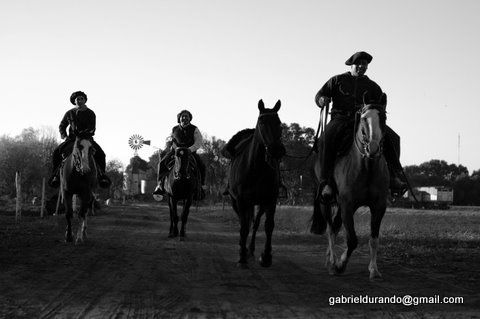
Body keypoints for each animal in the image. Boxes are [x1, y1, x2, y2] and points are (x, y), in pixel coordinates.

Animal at [226, 99, 284, 268]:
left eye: (279, 123)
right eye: (262, 122)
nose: (277, 150)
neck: (255, 167)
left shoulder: (270, 200)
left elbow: (268, 226)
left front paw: (266, 257)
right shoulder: (240, 200)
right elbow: (243, 227)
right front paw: (241, 258)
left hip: (259, 204)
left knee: (256, 222)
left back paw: (250, 249)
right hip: (237, 202)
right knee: (244, 222)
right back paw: (244, 249)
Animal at [312, 92, 390, 280]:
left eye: (383, 117)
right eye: (363, 118)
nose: (373, 148)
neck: (367, 168)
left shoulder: (378, 207)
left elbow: (373, 239)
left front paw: (374, 269)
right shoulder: (347, 205)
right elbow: (352, 240)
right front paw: (339, 264)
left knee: (335, 226)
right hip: (326, 201)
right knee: (330, 229)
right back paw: (331, 261)